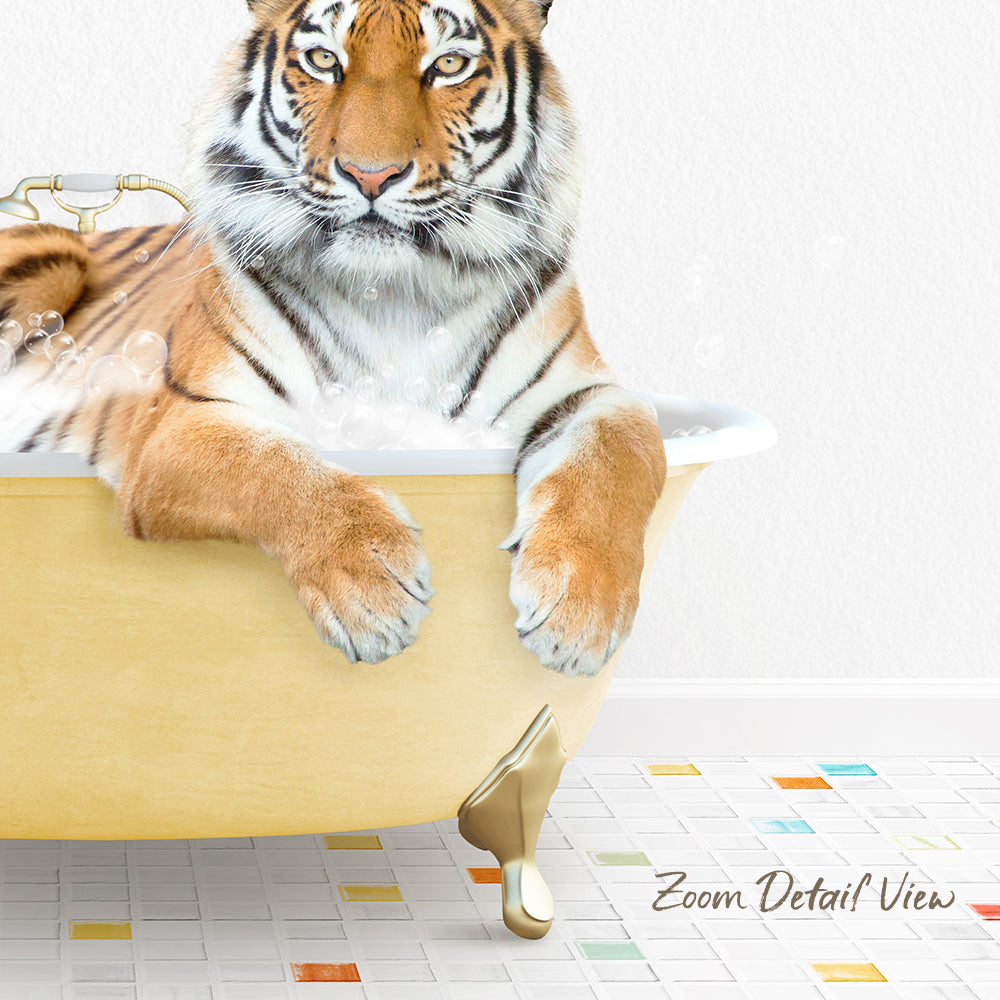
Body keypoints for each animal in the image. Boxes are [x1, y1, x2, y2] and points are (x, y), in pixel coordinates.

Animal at [0, 0, 666, 677]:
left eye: (448, 64)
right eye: (324, 60)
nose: (371, 176)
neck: (395, 296)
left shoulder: (587, 393)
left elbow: (622, 453)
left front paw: (579, 611)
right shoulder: (180, 423)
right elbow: (275, 466)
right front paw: (372, 593)